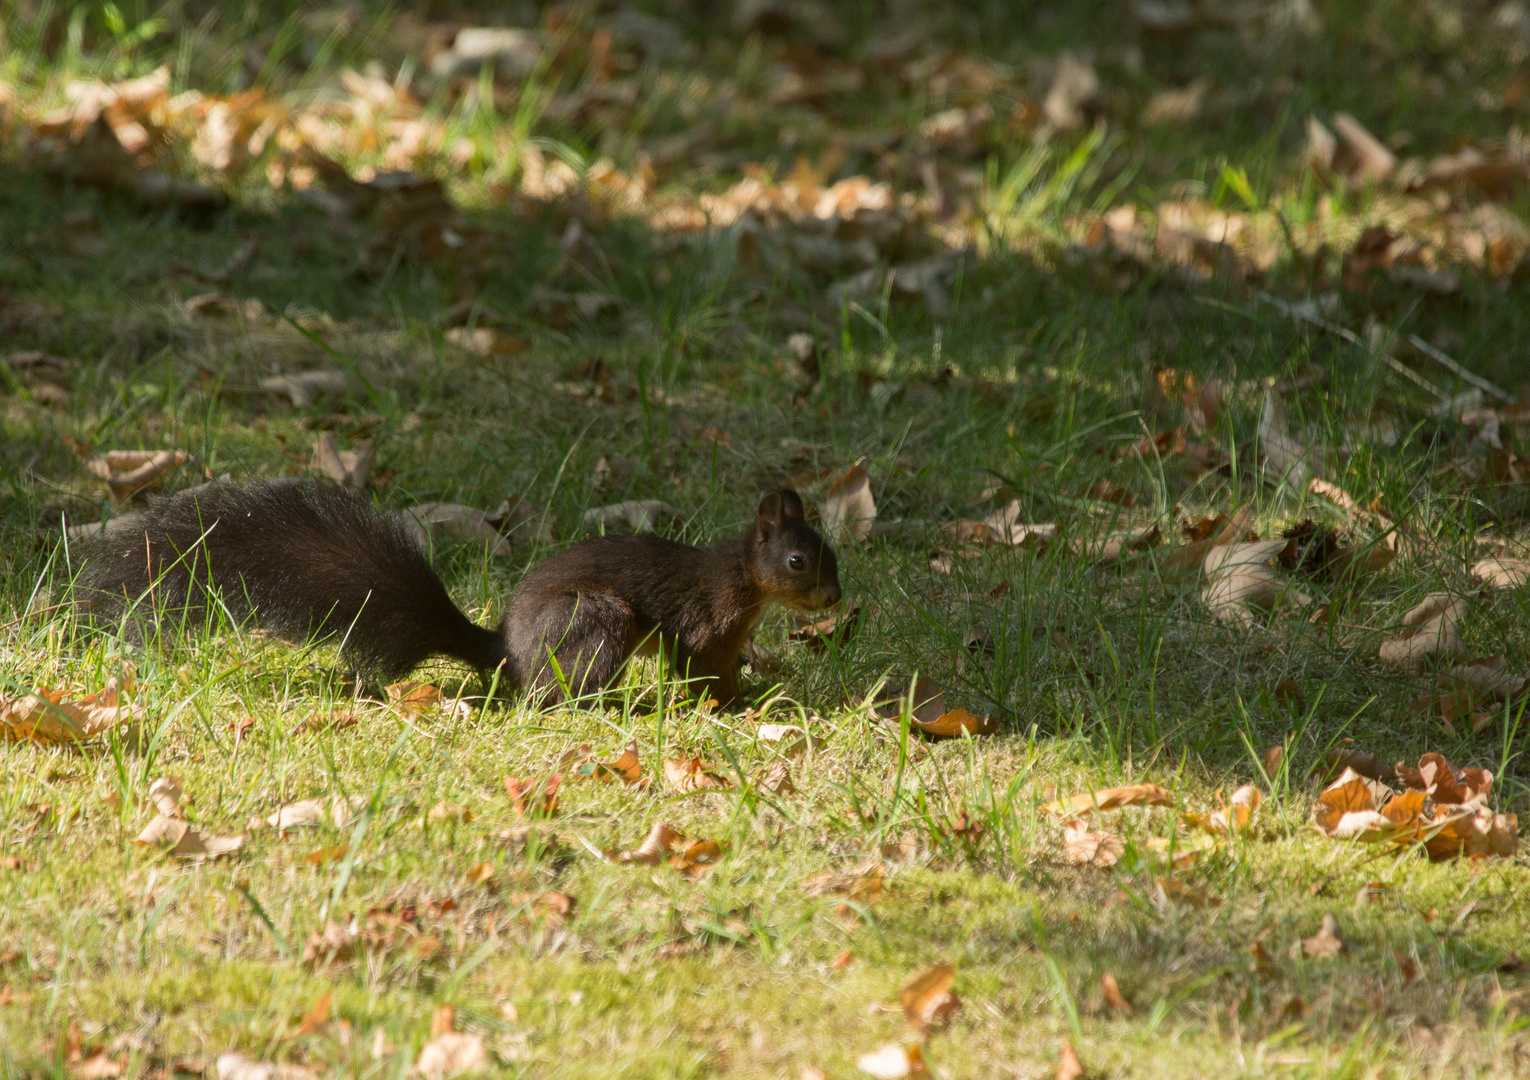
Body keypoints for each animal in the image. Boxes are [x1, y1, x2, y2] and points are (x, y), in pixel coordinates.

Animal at [71, 474, 844, 703]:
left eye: (831, 554)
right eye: (799, 561)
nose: (835, 602)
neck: (744, 581)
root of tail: (506, 655)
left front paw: (763, 682)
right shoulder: (704, 623)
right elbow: (701, 669)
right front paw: (739, 705)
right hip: (595, 618)